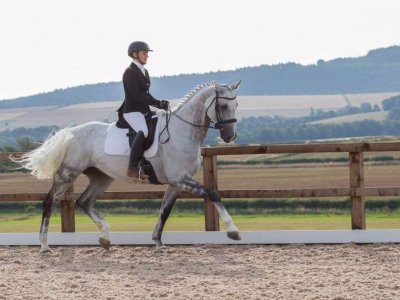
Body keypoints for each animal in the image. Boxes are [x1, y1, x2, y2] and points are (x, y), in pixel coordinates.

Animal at [17, 79, 239, 251]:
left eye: (236, 105)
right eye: (223, 106)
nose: (230, 136)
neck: (181, 131)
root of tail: (70, 132)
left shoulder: (176, 183)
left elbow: (165, 210)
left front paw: (158, 242)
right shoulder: (180, 179)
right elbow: (212, 194)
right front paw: (233, 231)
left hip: (101, 177)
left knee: (84, 201)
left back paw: (106, 238)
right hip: (67, 174)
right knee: (50, 202)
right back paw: (44, 245)